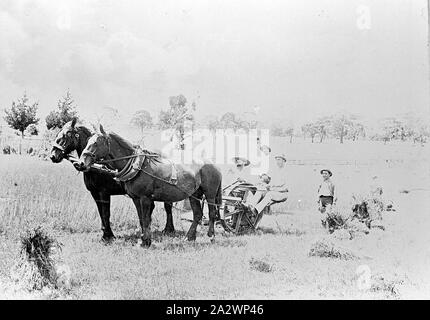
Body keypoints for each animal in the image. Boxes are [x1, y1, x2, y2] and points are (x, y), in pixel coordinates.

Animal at [75, 125, 222, 248]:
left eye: (96, 143)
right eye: (87, 141)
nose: (80, 163)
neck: (137, 166)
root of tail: (213, 164)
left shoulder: (145, 198)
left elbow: (146, 219)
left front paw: (145, 241)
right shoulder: (136, 198)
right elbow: (141, 219)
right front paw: (144, 240)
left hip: (210, 194)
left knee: (212, 213)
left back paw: (211, 236)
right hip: (194, 194)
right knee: (197, 214)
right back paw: (189, 237)